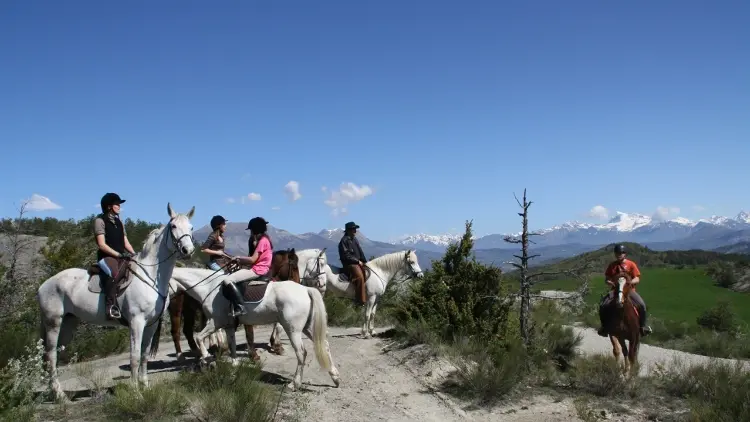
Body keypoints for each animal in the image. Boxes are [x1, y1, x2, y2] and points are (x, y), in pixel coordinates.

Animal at [36, 203, 195, 400]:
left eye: (191, 228)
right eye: (173, 226)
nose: (188, 251)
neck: (150, 277)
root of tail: (44, 285)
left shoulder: (151, 324)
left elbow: (144, 355)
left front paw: (145, 386)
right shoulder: (136, 322)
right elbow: (134, 357)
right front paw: (135, 392)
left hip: (68, 323)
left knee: (56, 355)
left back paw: (55, 392)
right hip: (53, 323)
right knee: (51, 355)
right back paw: (59, 396)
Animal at [169, 249, 302, 362]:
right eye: (295, 267)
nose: (298, 284)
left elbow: (276, 325)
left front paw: (276, 346)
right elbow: (250, 334)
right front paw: (255, 355)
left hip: (190, 311)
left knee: (188, 330)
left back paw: (207, 350)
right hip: (178, 310)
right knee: (177, 331)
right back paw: (184, 356)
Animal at [170, 266, 340, 390]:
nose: (170, 305)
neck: (209, 287)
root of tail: (305, 289)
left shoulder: (215, 322)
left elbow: (198, 337)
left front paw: (206, 358)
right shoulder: (229, 325)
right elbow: (232, 346)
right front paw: (234, 367)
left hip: (293, 330)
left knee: (301, 353)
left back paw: (294, 384)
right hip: (307, 327)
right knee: (324, 345)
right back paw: (335, 377)